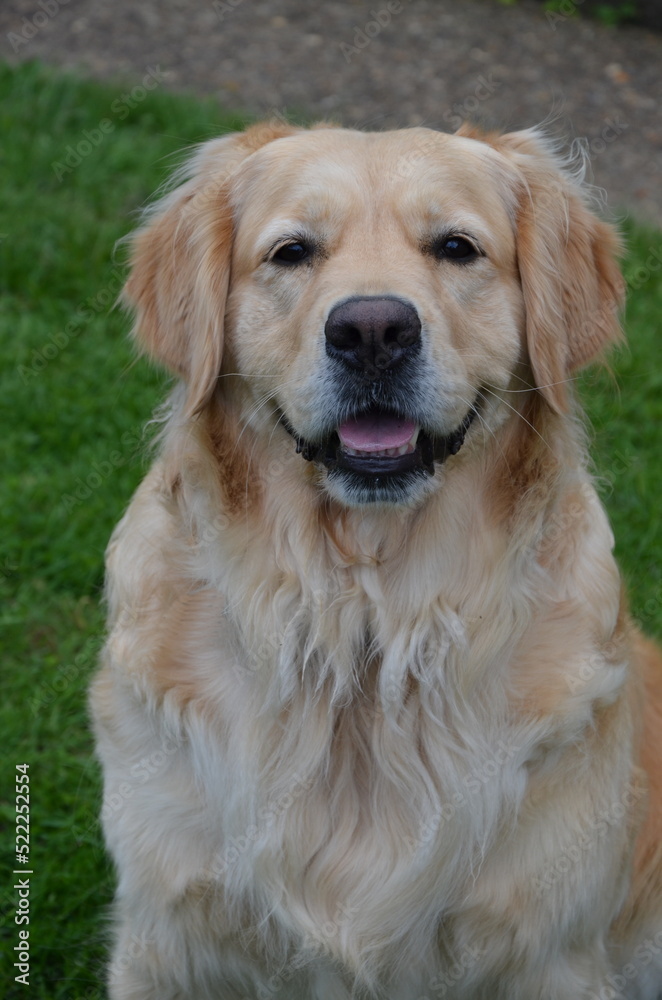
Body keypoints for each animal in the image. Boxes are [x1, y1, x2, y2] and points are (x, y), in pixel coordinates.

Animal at [91, 121, 662, 996]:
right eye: (292, 252)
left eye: (456, 247)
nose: (371, 332)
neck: (362, 615)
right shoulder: (166, 939)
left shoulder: (555, 950)